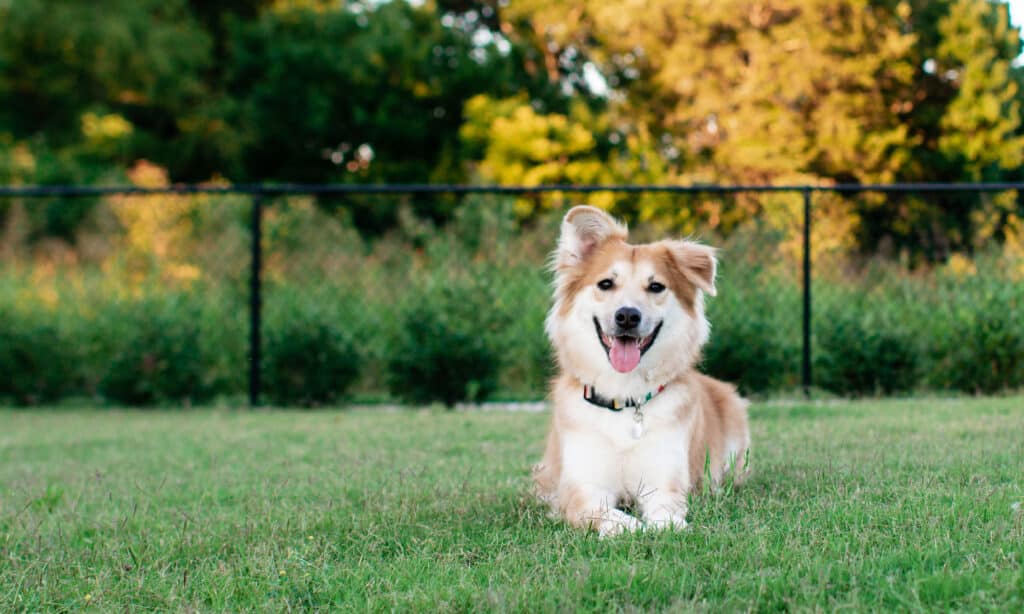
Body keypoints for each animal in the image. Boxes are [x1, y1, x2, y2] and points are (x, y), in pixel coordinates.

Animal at [536, 203, 753, 536]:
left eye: (655, 286)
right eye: (606, 284)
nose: (627, 316)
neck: (624, 397)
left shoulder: (664, 480)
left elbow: (666, 512)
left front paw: (665, 526)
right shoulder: (582, 490)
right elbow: (609, 515)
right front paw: (631, 528)